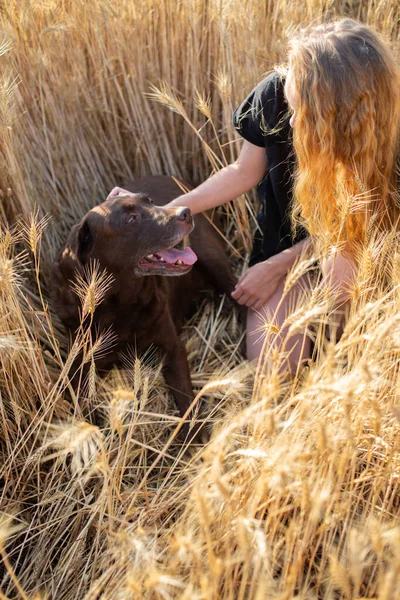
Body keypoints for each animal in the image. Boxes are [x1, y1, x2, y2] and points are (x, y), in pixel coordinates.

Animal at [51, 176, 236, 438]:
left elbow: (185, 397)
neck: (120, 304)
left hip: (212, 258)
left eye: (149, 201)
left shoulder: (172, 348)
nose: (186, 212)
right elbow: (84, 406)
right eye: (131, 219)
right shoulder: (79, 364)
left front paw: (193, 437)